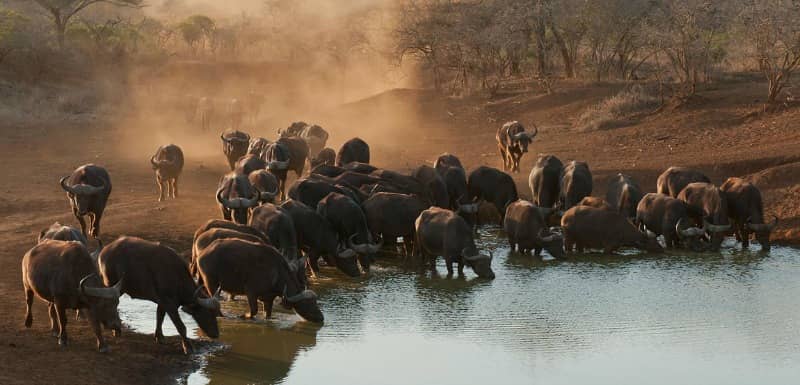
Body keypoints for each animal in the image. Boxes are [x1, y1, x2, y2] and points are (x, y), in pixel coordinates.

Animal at [195, 238, 324, 322]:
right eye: (307, 304)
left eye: (315, 302)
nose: (321, 317)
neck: (276, 272)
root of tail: (203, 253)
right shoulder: (251, 293)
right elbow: (254, 310)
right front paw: (242, 316)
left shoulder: (268, 299)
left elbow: (267, 314)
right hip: (211, 282)